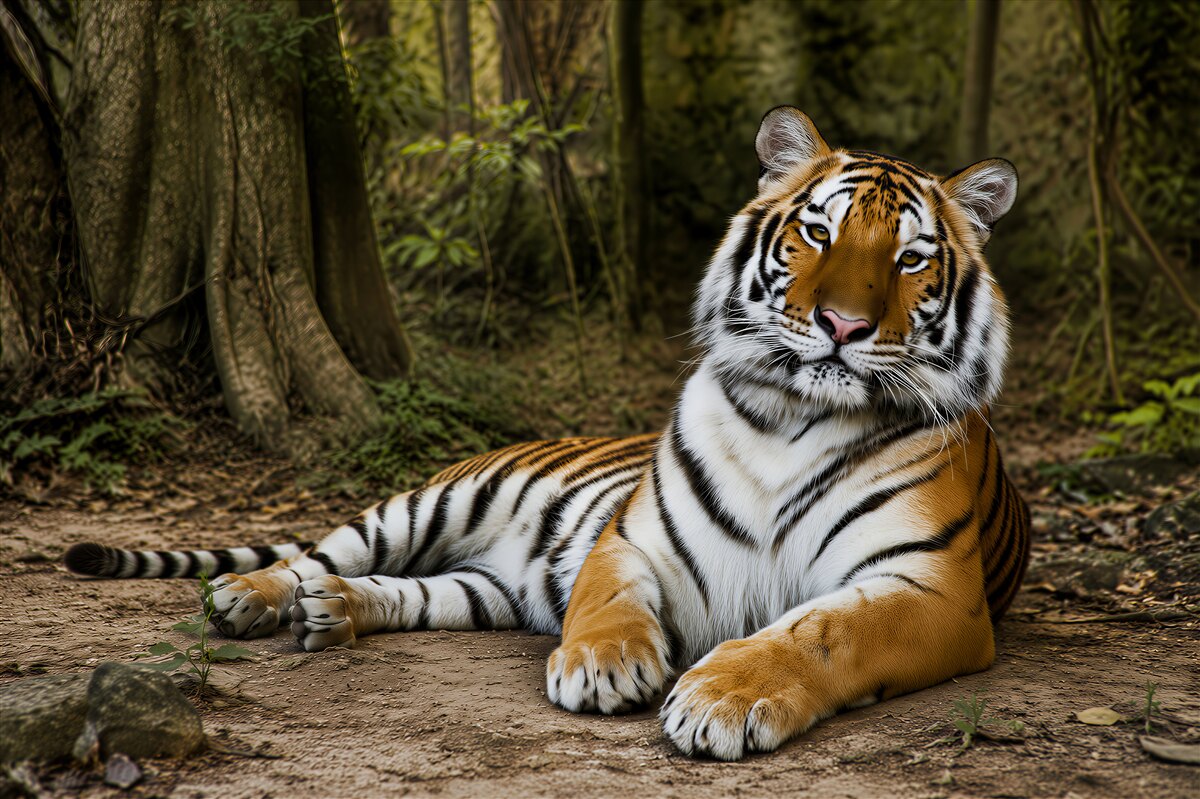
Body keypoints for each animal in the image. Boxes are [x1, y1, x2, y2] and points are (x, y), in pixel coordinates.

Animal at [65, 106, 1030, 761]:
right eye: (817, 231)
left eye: (910, 258)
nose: (841, 325)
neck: (789, 416)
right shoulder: (633, 538)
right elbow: (606, 602)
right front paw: (603, 666)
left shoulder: (931, 587)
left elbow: (821, 630)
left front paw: (722, 696)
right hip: (428, 503)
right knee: (318, 551)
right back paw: (254, 596)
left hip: (492, 588)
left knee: (411, 592)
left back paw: (333, 612)